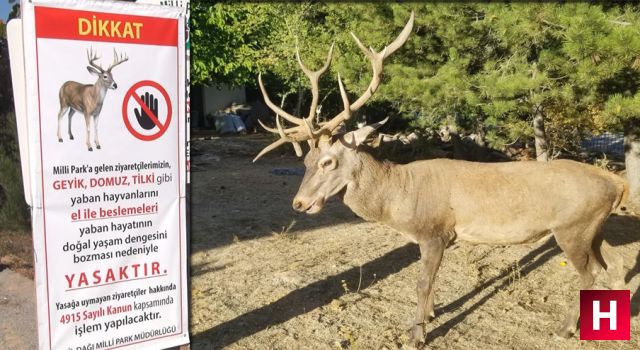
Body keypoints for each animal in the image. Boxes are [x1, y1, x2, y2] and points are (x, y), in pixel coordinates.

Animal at [251, 10, 632, 348]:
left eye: (328, 161)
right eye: (305, 161)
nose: (299, 203)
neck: (400, 199)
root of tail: (619, 184)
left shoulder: (435, 231)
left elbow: (421, 283)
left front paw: (416, 335)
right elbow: (430, 284)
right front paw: (431, 315)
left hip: (572, 227)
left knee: (590, 273)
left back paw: (565, 328)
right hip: (593, 227)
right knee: (616, 264)